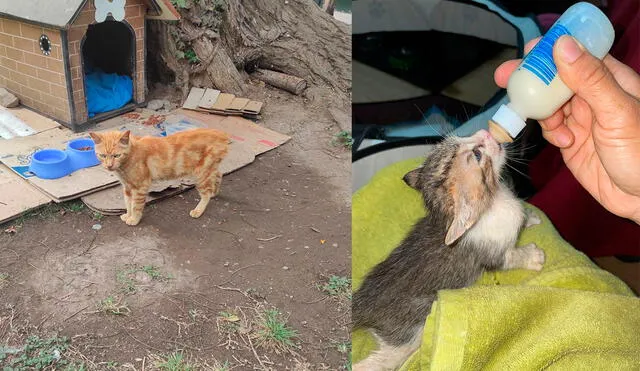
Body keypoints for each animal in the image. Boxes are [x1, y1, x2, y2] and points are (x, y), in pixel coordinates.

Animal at [89, 128, 229, 227]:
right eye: (102, 155)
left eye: (116, 155)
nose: (109, 166)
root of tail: (223, 135)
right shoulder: (127, 187)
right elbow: (128, 203)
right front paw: (128, 215)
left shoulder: (140, 186)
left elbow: (135, 205)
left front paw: (134, 219)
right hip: (209, 170)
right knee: (218, 175)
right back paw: (214, 192)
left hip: (201, 174)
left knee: (206, 193)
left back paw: (198, 210)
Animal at [352, 129, 544, 370]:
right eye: (477, 155)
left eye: (462, 137)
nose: (485, 132)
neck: (494, 202)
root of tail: (363, 302)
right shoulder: (492, 255)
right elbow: (509, 258)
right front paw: (532, 256)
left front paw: (530, 217)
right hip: (411, 328)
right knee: (385, 360)